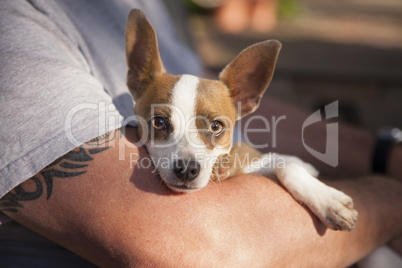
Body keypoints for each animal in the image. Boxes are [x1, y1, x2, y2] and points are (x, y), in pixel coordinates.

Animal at [125, 9, 358, 231]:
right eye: (159, 123)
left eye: (216, 126)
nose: (187, 169)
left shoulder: (261, 160)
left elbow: (287, 164)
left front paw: (328, 201)